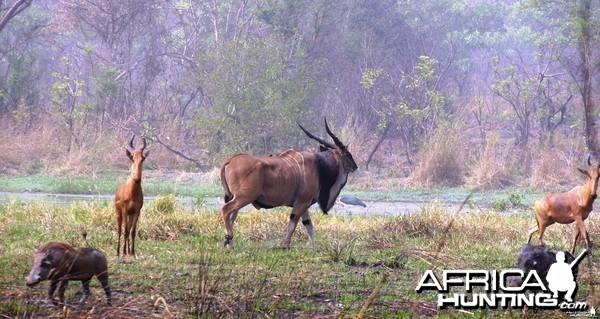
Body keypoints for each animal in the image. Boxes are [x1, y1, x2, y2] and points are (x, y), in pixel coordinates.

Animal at [219, 119, 356, 249]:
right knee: (226, 209)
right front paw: (285, 245)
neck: (318, 165)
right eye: (347, 154)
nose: (355, 166)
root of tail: (230, 161)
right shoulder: (301, 203)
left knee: (232, 216)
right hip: (245, 197)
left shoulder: (304, 204)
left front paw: (316, 247)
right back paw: (228, 238)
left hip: (234, 197)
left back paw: (230, 244)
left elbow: (309, 225)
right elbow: (293, 224)